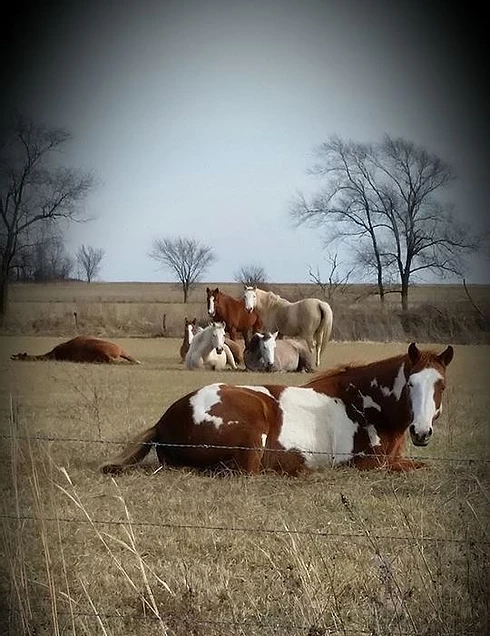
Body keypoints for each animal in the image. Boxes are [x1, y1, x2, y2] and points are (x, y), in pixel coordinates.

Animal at [101, 342, 454, 472]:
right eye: (411, 384)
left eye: (441, 386)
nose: (422, 432)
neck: (363, 404)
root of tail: (165, 420)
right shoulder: (369, 465)